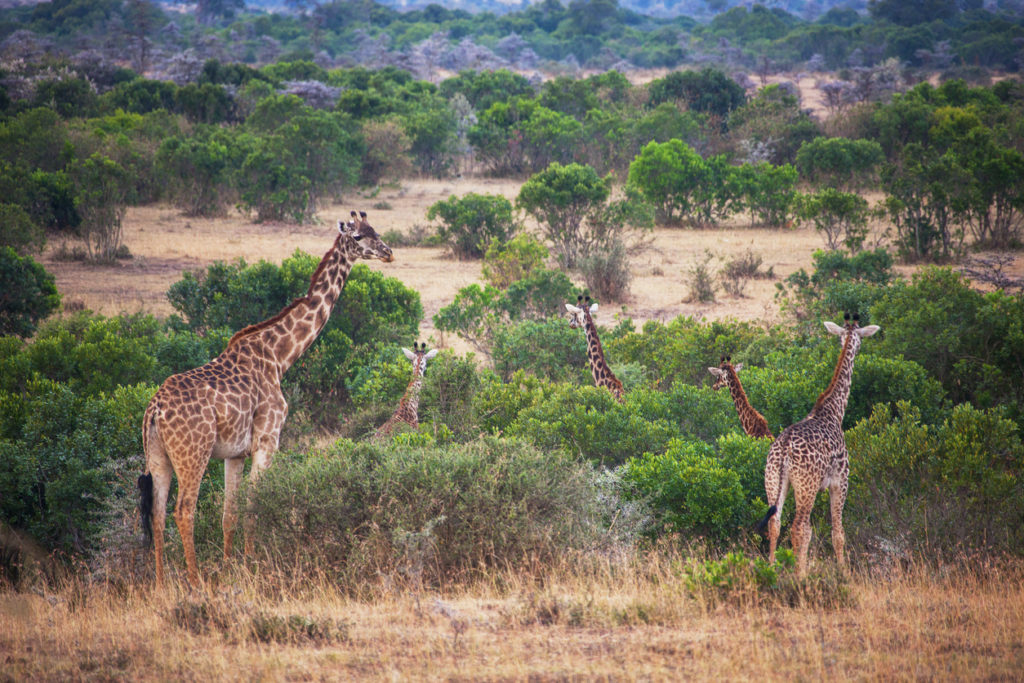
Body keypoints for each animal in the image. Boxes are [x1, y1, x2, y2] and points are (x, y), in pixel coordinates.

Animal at [142, 211, 397, 589]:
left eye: (375, 230)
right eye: (360, 236)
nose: (388, 252)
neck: (279, 356)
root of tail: (155, 411)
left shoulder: (234, 453)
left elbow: (229, 514)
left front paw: (231, 568)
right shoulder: (267, 440)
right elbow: (253, 507)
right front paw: (251, 568)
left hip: (158, 457)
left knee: (157, 515)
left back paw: (160, 585)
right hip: (193, 454)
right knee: (184, 510)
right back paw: (195, 581)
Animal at [753, 315, 880, 577]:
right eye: (861, 341)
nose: (858, 350)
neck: (834, 411)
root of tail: (784, 450)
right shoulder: (840, 481)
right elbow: (838, 532)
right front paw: (844, 572)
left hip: (773, 480)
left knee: (775, 522)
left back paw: (771, 569)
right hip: (807, 486)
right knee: (800, 527)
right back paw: (800, 576)